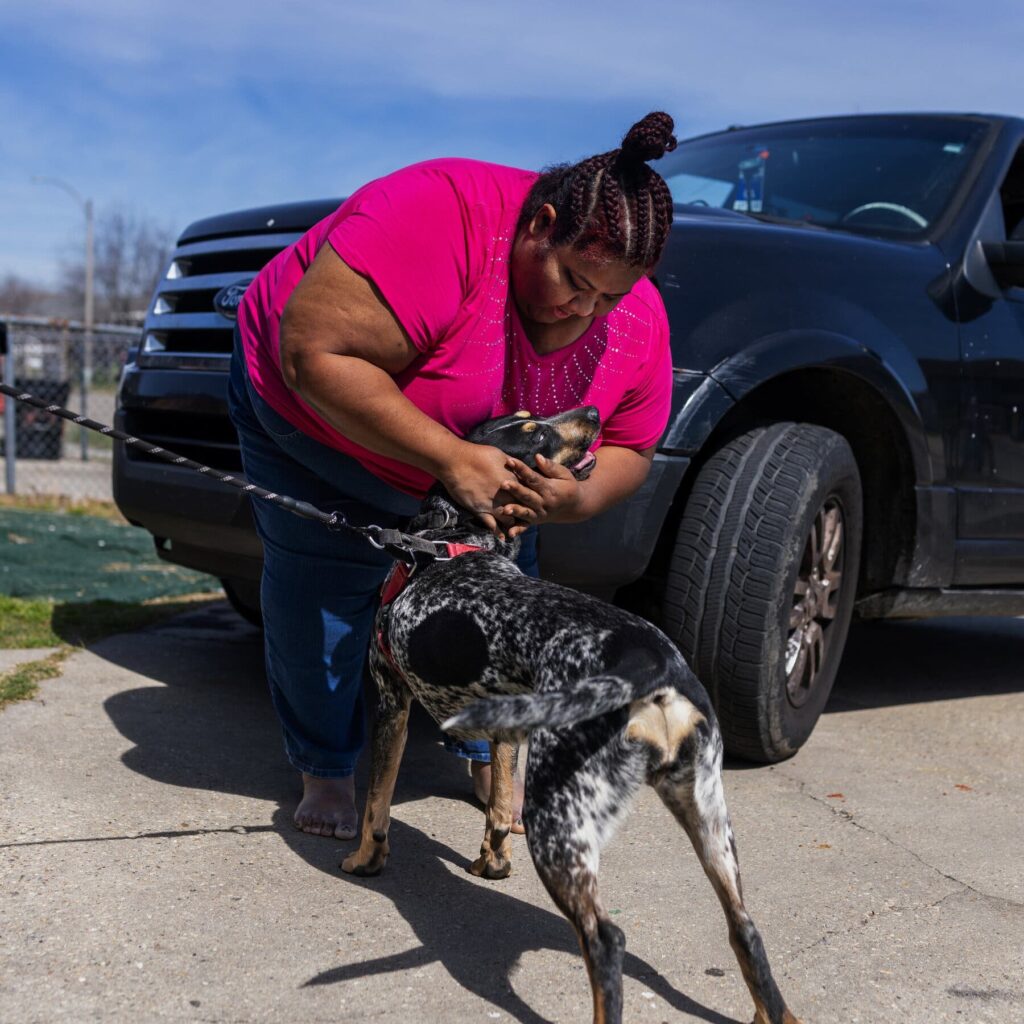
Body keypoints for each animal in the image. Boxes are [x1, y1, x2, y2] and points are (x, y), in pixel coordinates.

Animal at [341, 406, 800, 1024]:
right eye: (529, 428)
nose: (594, 413)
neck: (451, 544)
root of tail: (648, 666)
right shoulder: (506, 725)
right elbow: (496, 808)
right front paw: (491, 863)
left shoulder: (391, 700)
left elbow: (376, 804)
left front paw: (363, 859)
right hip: (708, 819)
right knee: (745, 929)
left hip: (560, 825)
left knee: (605, 939)